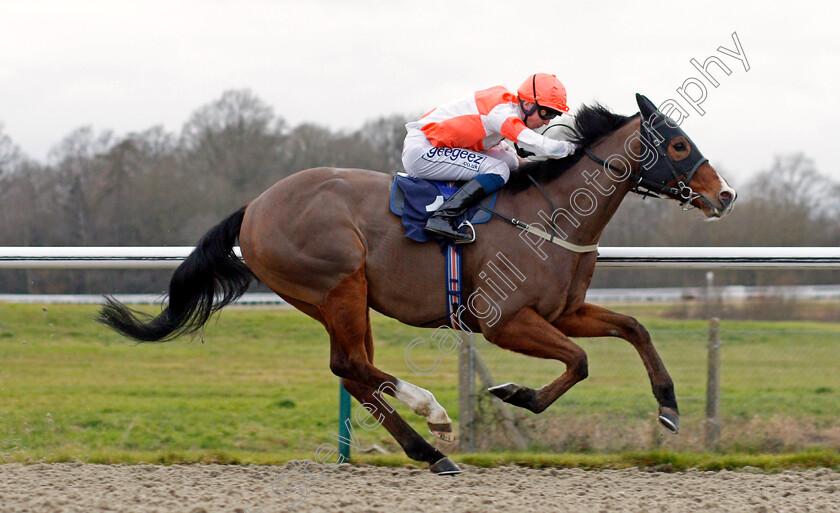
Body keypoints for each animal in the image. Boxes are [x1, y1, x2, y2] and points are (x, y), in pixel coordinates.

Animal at [100, 95, 736, 472]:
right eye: (678, 144)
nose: (725, 194)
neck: (552, 215)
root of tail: (256, 204)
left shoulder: (562, 311)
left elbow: (634, 327)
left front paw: (669, 408)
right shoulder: (504, 320)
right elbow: (579, 362)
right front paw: (515, 394)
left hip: (336, 298)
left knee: (352, 370)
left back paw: (428, 450)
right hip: (338, 284)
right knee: (351, 366)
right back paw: (432, 415)